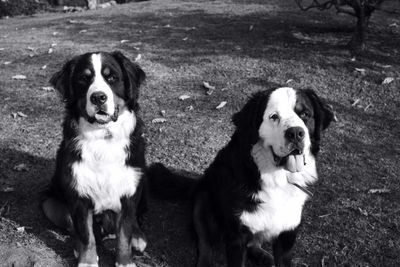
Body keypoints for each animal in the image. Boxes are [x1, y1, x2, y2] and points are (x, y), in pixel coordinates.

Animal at [41, 50, 147, 267]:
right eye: (84, 79)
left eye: (112, 77)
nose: (98, 97)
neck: (102, 137)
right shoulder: (79, 194)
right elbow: (85, 234)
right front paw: (87, 262)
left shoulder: (129, 190)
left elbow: (124, 232)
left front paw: (125, 261)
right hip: (49, 202)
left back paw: (138, 237)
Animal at [148, 87, 334, 267]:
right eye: (274, 116)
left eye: (305, 114)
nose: (295, 133)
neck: (276, 179)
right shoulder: (237, 237)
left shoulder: (287, 234)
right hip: (203, 204)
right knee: (205, 245)